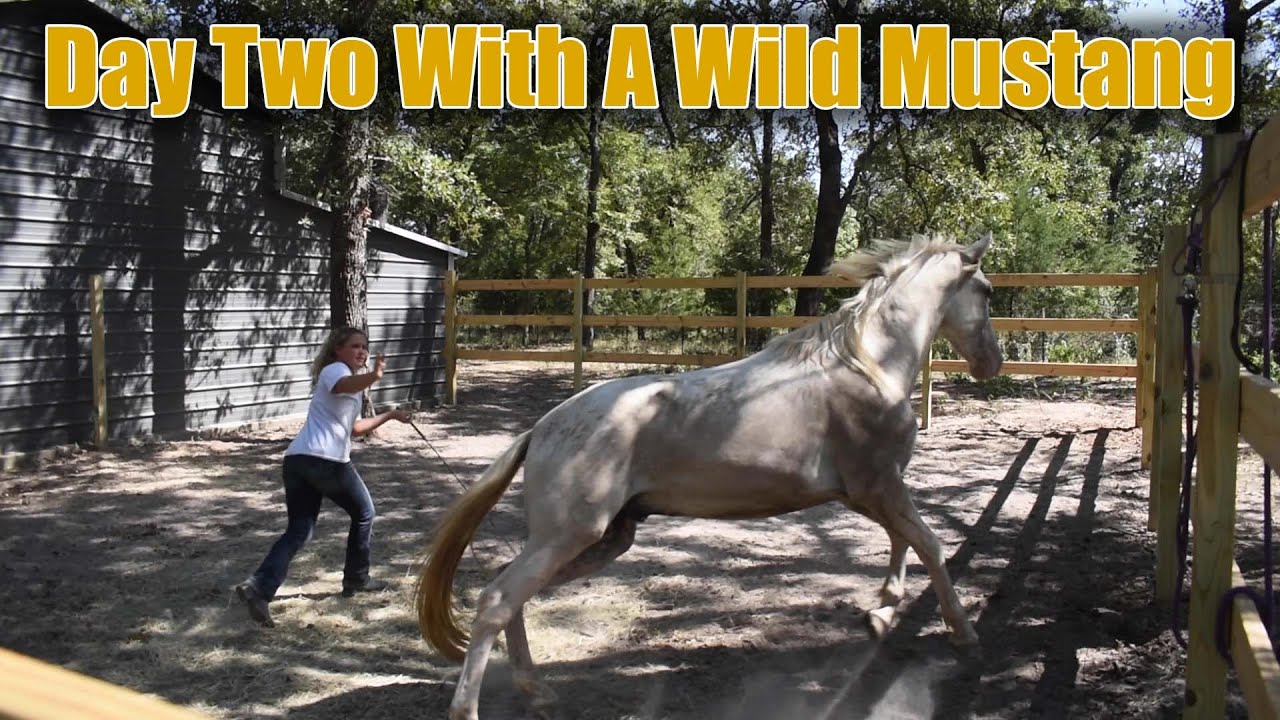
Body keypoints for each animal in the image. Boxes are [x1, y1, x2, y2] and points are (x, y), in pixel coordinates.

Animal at [415, 232, 1003, 720]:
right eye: (988, 292)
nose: (992, 364)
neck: (867, 365)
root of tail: (540, 428)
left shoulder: (875, 490)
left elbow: (902, 541)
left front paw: (882, 610)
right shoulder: (877, 485)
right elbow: (928, 543)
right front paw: (964, 633)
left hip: (604, 538)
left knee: (508, 593)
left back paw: (537, 691)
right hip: (572, 534)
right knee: (497, 599)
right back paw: (472, 708)